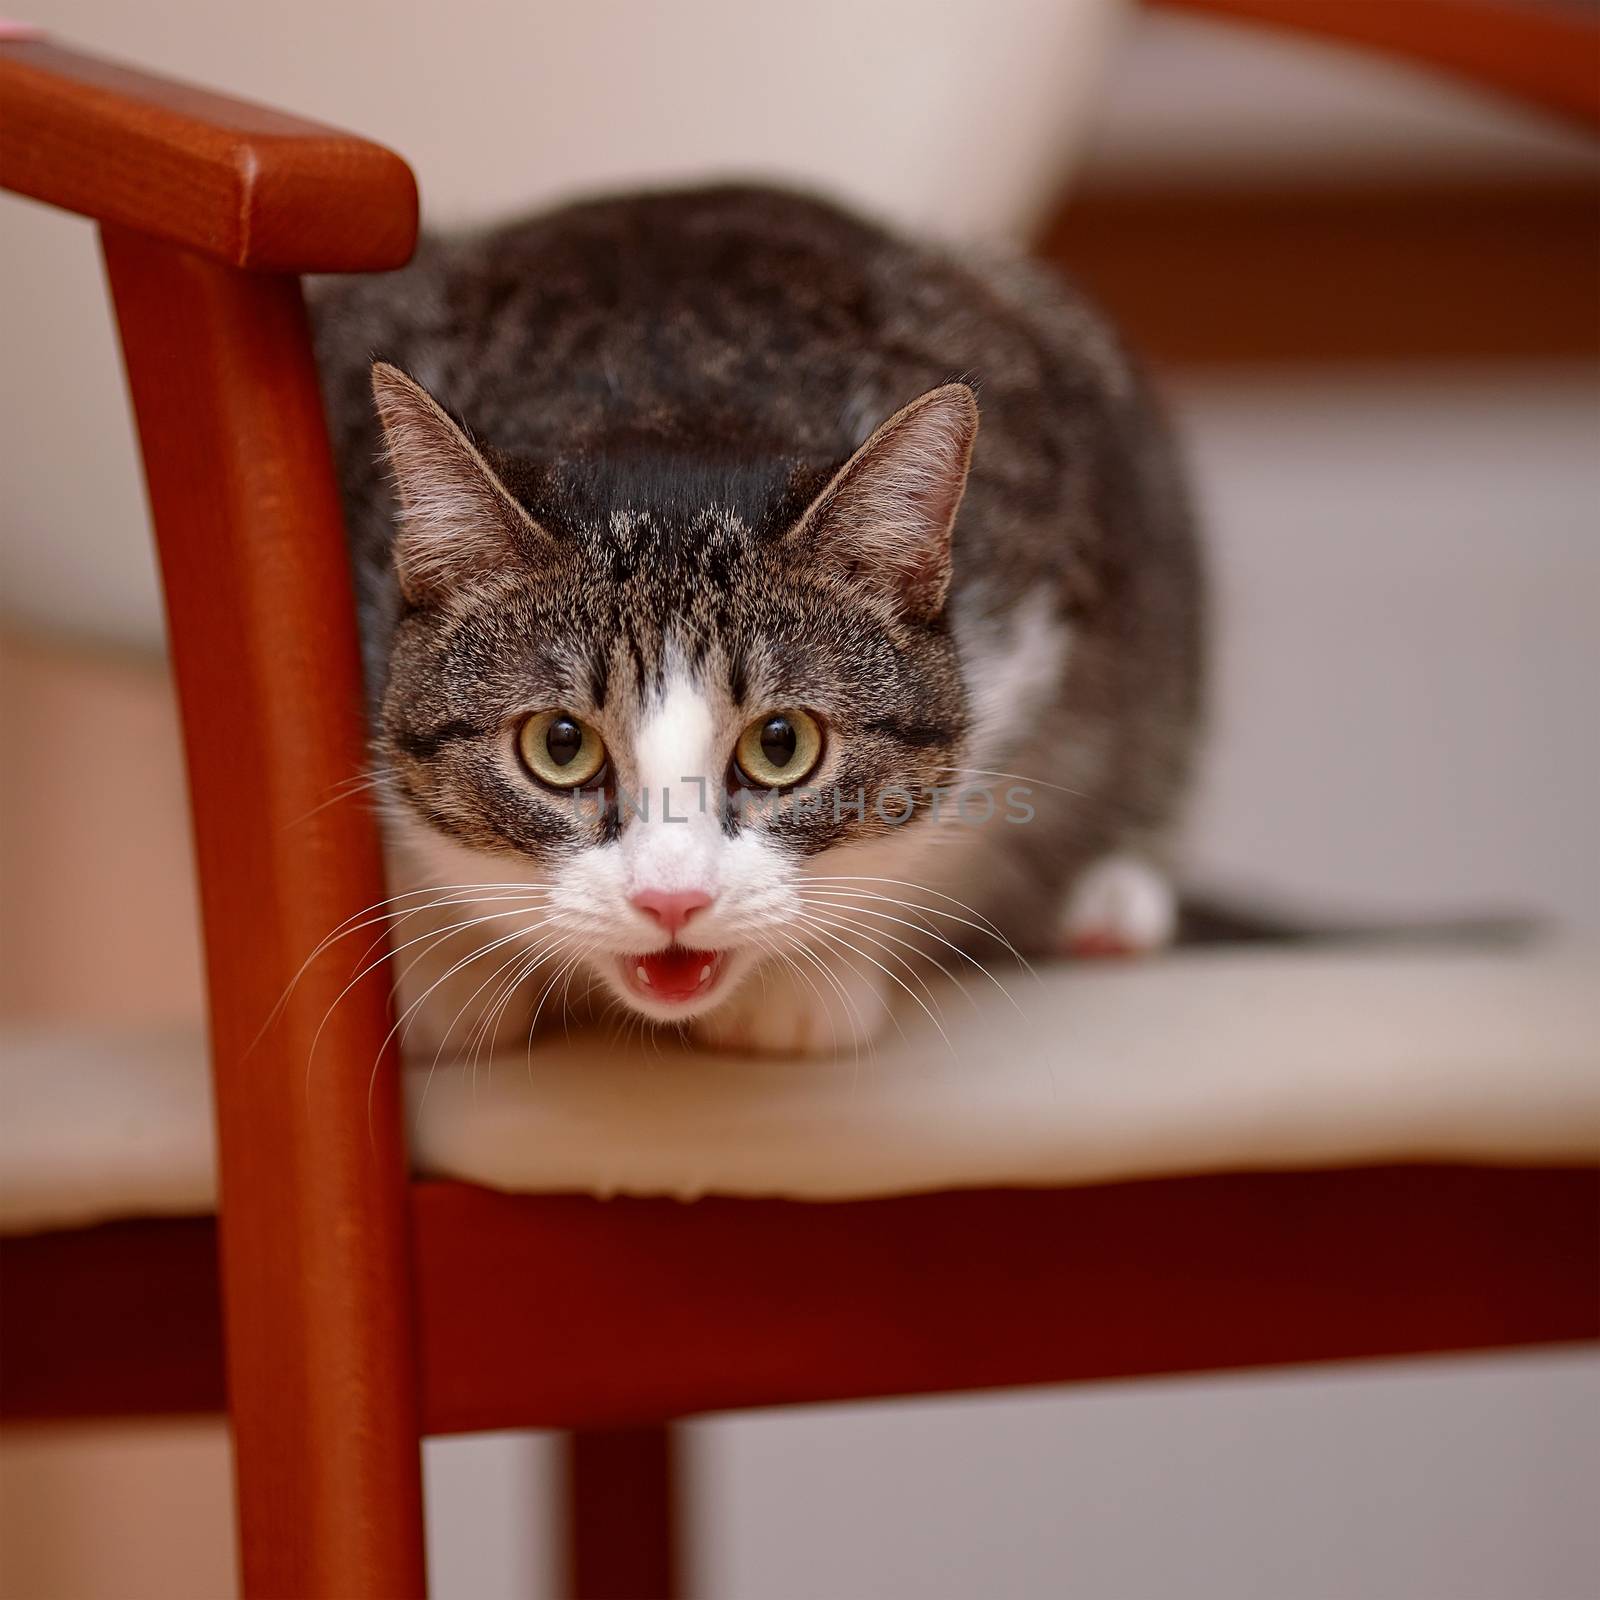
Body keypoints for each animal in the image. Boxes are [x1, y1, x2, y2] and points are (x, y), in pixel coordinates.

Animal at [312, 181, 1203, 1056]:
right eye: (560, 746)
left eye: (782, 745)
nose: (672, 899)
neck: (668, 404)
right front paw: (435, 964)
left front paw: (807, 981)